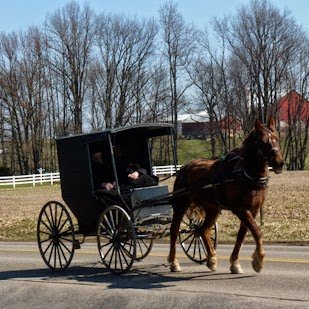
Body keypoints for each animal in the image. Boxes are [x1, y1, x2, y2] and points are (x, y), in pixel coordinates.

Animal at [167, 116, 282, 274]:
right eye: (263, 142)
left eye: (276, 138)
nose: (279, 163)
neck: (245, 173)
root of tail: (185, 167)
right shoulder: (241, 209)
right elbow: (257, 231)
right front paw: (258, 260)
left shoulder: (253, 209)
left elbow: (242, 236)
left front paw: (235, 263)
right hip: (180, 205)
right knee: (174, 231)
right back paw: (174, 262)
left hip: (212, 208)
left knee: (203, 230)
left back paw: (211, 259)